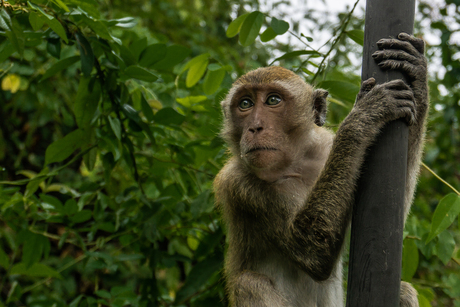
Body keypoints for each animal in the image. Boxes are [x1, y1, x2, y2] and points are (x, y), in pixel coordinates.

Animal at [214, 31, 430, 307]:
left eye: (273, 100)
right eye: (245, 104)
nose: (255, 127)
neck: (295, 164)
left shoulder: (325, 149)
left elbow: (390, 222)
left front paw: (417, 74)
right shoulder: (237, 184)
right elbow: (313, 248)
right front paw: (363, 117)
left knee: (404, 290)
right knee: (249, 282)